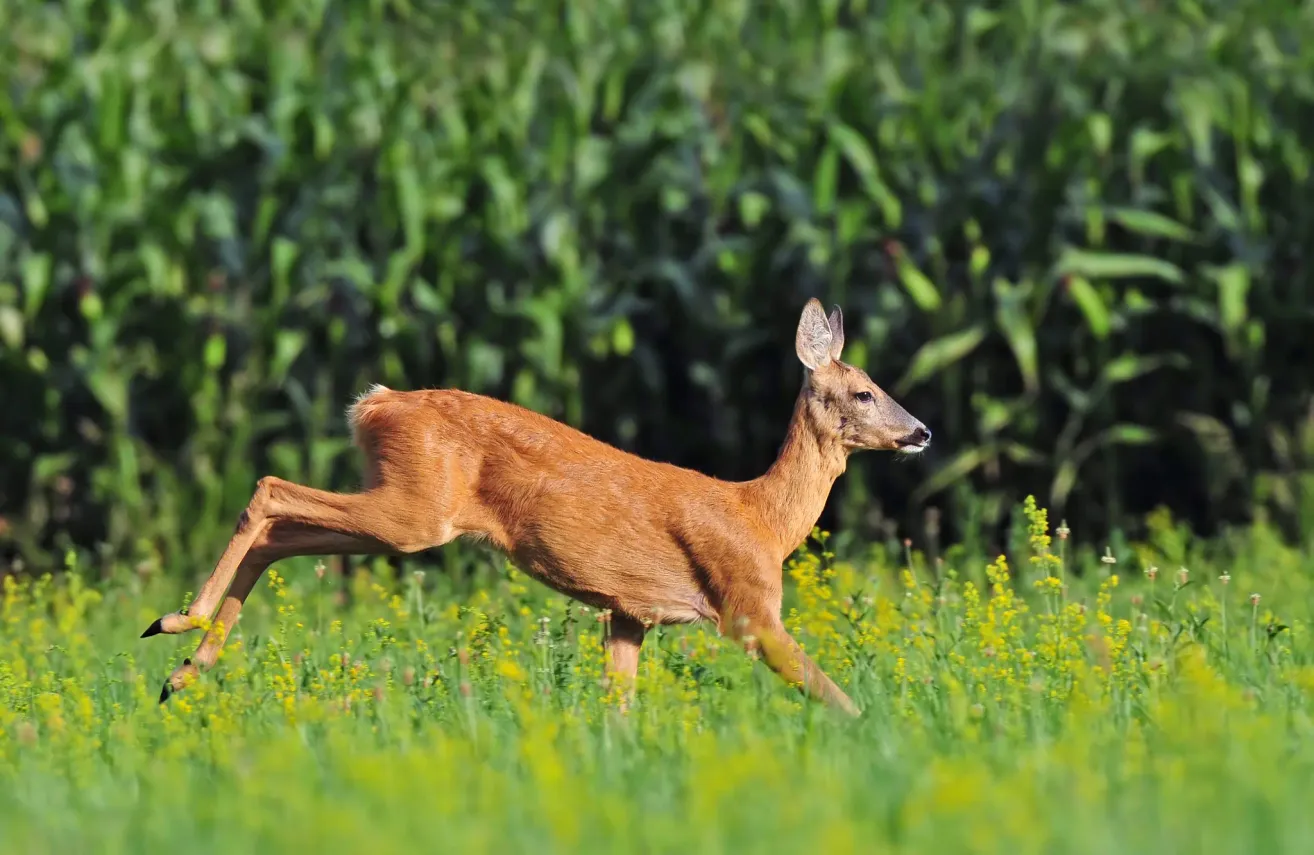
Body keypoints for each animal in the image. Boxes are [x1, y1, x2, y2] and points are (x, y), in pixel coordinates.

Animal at [141, 298, 931, 716]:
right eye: (863, 391)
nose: (921, 432)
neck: (763, 517)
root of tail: (375, 404)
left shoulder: (629, 614)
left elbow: (620, 709)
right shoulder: (747, 608)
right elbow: (834, 695)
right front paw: (879, 735)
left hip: (399, 513)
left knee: (280, 532)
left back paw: (180, 667)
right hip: (414, 513)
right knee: (271, 488)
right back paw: (177, 625)